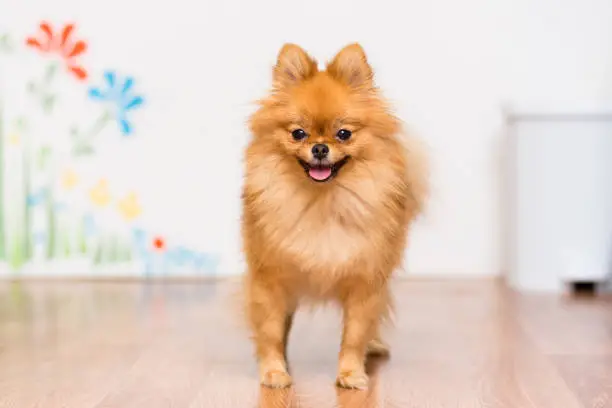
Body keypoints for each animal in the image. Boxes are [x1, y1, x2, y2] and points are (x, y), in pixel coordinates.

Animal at [241, 43, 428, 390]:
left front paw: (351, 373)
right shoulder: (269, 279)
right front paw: (273, 371)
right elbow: (271, 330)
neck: (323, 202)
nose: (319, 148)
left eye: (343, 134)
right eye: (298, 133)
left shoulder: (366, 283)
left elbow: (355, 334)